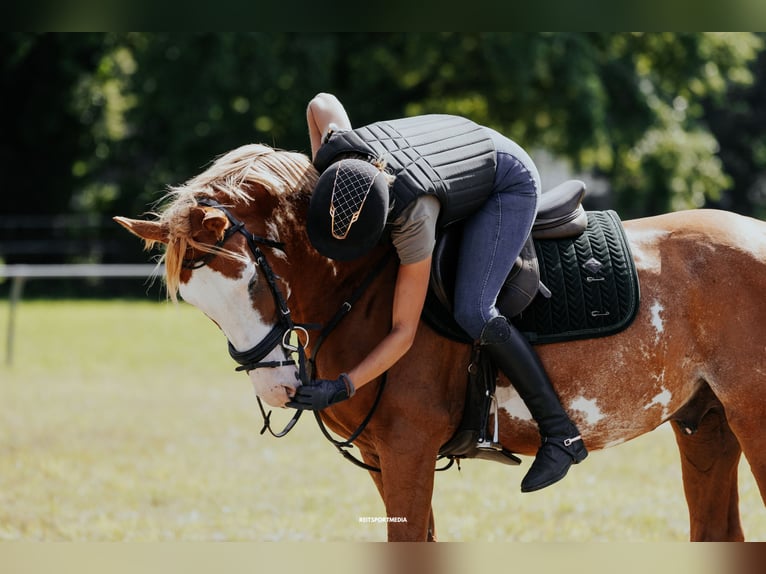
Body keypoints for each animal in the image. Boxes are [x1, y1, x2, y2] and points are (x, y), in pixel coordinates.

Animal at [114, 143, 766, 542]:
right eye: (200, 305)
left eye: (251, 281)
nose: (277, 388)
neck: (362, 285)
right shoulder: (384, 459)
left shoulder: (408, 450)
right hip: (705, 423)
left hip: (750, 423)